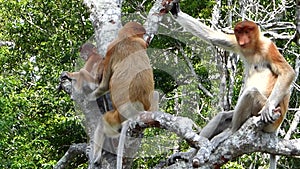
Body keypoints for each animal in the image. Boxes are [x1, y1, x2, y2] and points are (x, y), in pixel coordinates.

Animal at [89, 22, 157, 169]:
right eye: (142, 34)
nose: (146, 37)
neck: (128, 39)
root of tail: (134, 113)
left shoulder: (110, 49)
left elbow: (105, 84)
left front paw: (89, 96)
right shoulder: (141, 43)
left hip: (115, 118)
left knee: (102, 122)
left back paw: (96, 157)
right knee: (155, 93)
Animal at [169, 3, 296, 169]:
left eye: (247, 31)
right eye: (239, 32)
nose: (242, 39)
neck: (254, 48)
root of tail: (276, 128)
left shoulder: (268, 47)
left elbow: (288, 72)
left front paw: (268, 107)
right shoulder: (237, 44)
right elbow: (212, 36)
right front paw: (175, 10)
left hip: (272, 119)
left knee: (250, 93)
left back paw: (231, 132)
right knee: (223, 116)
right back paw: (190, 154)